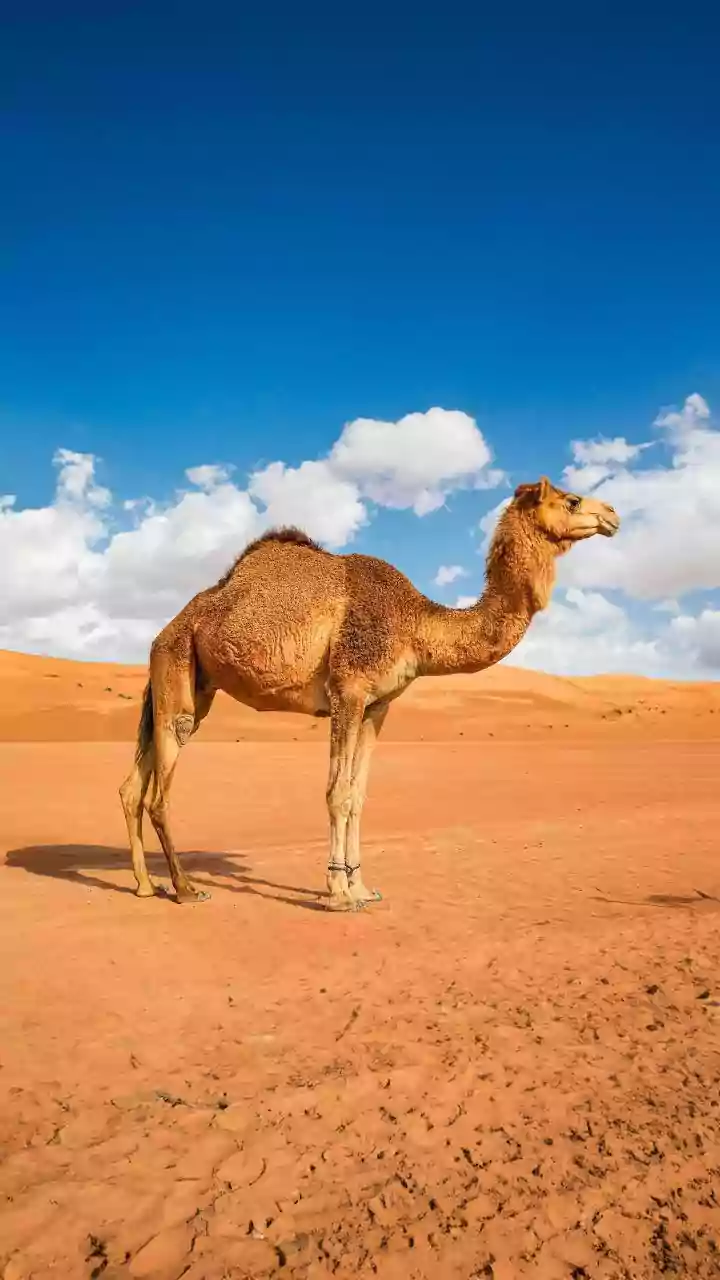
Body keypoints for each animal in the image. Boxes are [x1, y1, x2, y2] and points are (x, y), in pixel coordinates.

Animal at [119, 476, 619, 910]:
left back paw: (144, 885)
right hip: (177, 668)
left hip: (191, 682)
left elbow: (359, 795)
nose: (612, 514)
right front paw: (338, 893)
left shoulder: (378, 705)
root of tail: (166, 631)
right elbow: (337, 793)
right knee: (159, 788)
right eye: (572, 500)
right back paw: (185, 889)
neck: (415, 624)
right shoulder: (349, 689)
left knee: (132, 787)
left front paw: (361, 885)